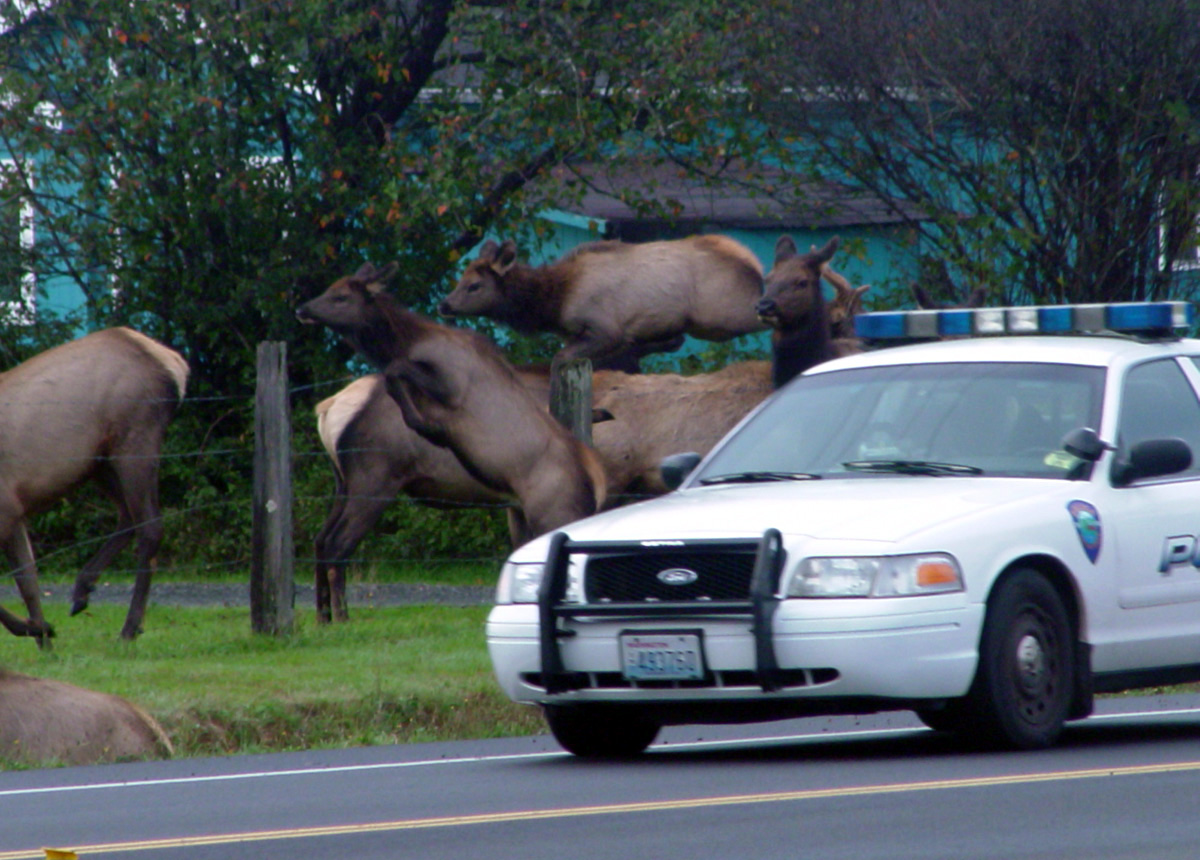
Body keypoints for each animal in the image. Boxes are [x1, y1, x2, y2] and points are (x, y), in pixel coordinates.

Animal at [0, 327, 188, 645]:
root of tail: (175, 364)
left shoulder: (7, 508)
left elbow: (24, 583)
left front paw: (39, 630)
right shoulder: (16, 512)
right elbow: (29, 581)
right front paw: (43, 636)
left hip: (135, 441)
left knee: (151, 526)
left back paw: (128, 628)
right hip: (99, 463)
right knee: (128, 516)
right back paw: (83, 591)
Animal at [437, 235, 766, 369]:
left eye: (474, 286)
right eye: (461, 279)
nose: (444, 305)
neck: (554, 301)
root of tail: (752, 262)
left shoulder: (606, 329)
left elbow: (559, 359)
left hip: (726, 313)